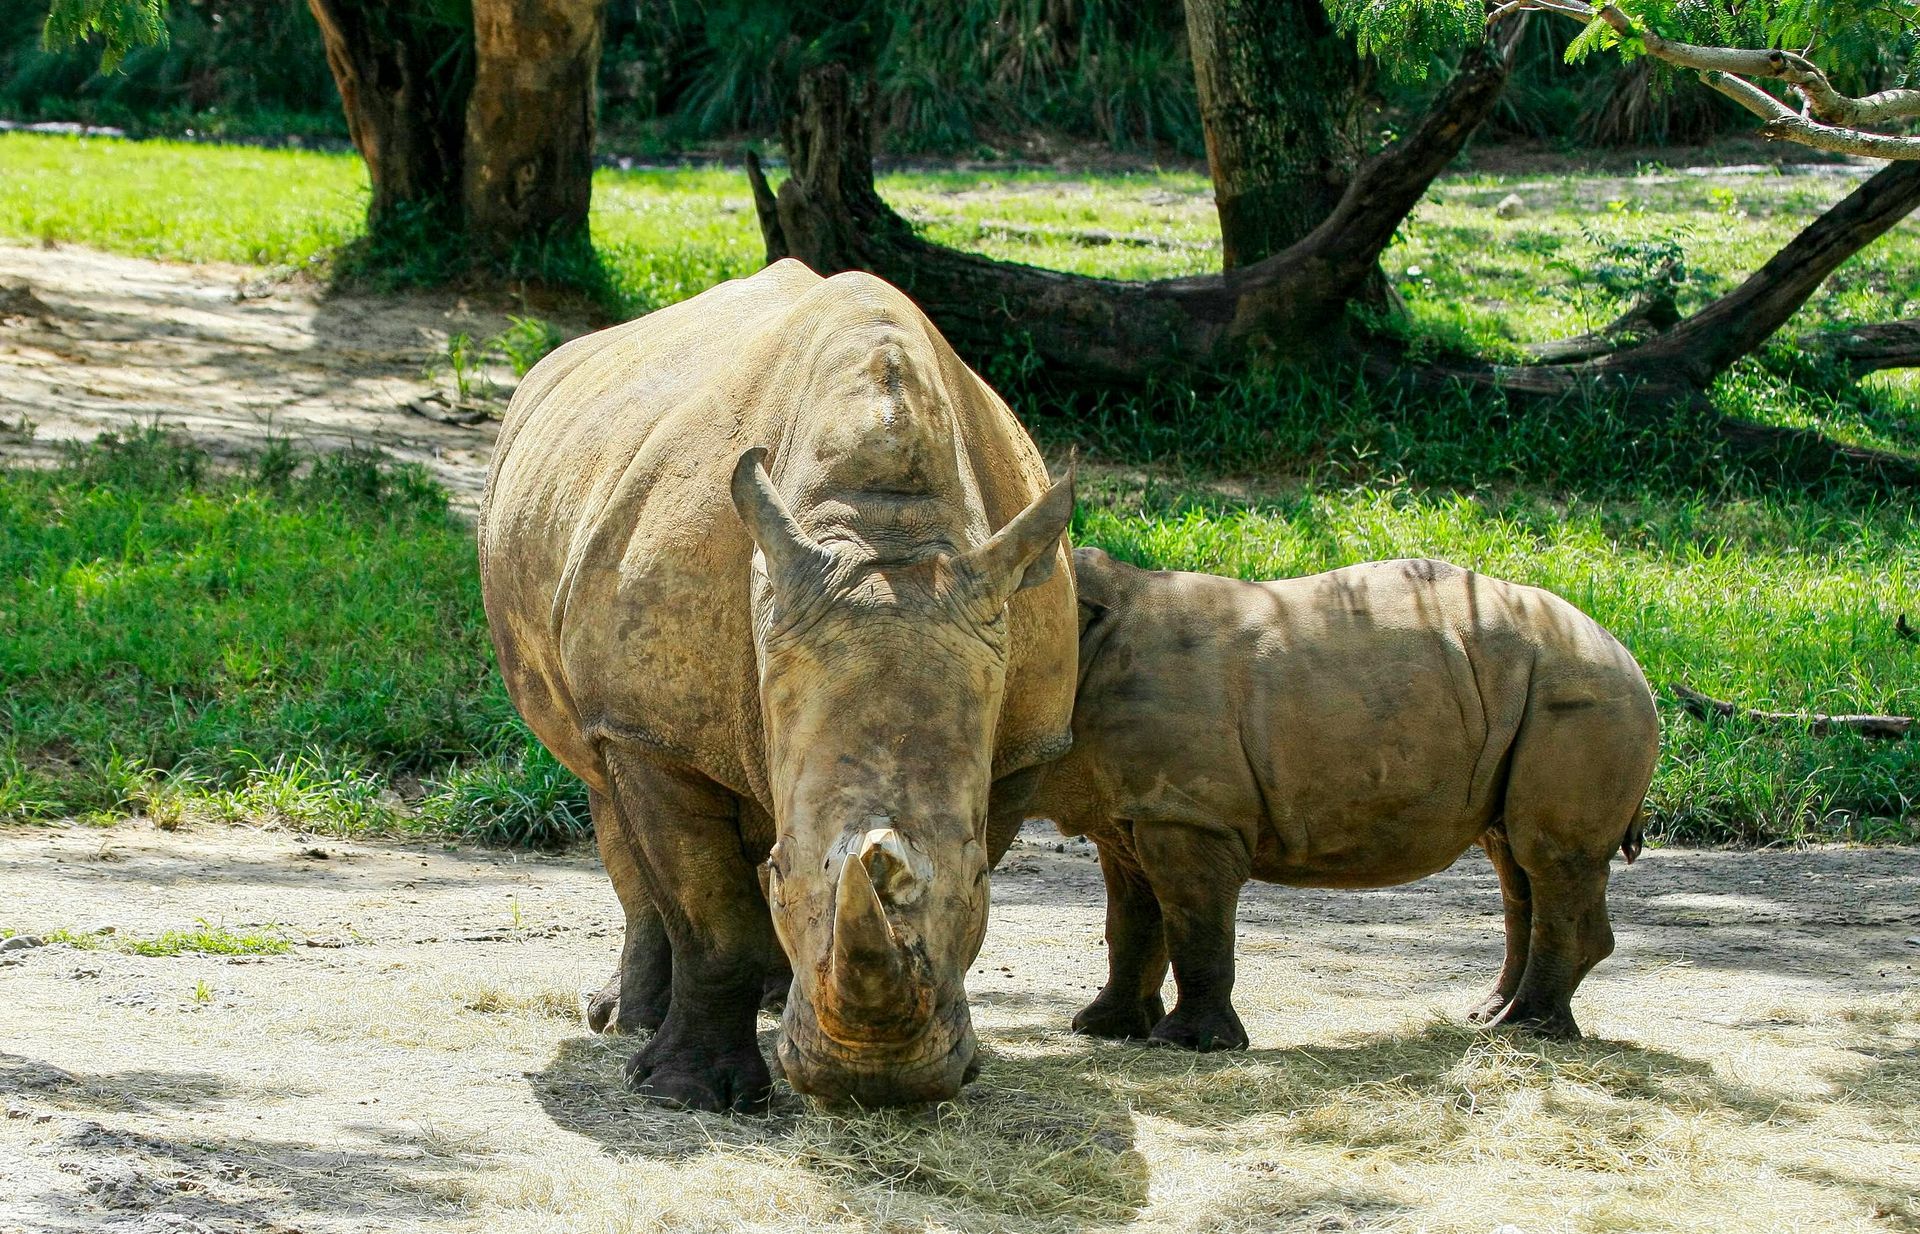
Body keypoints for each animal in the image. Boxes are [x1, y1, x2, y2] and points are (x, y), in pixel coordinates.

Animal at [479, 261, 1078, 1110]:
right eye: (783, 875)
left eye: (980, 882)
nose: (874, 1086)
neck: (885, 530)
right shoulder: (654, 728)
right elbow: (710, 913)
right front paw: (688, 1094)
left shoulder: (1026, 742)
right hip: (611, 677)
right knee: (605, 792)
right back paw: (625, 1022)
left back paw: (761, 998)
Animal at [1029, 549, 1659, 1049]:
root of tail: (1629, 654)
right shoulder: (1136, 808)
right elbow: (1132, 920)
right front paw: (1101, 1029)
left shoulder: (1188, 813)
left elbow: (1191, 916)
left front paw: (1186, 1046)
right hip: (1536, 689)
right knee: (1513, 858)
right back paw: (1489, 1018)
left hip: (1584, 689)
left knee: (1546, 857)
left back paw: (1527, 1030)